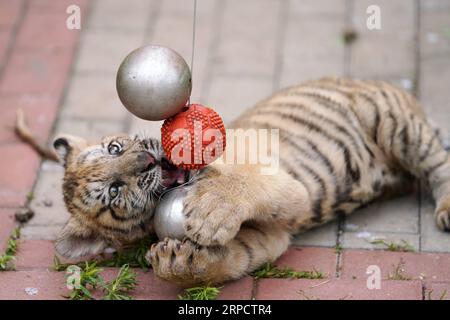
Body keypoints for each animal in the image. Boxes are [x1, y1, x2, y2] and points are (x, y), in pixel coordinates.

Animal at [53, 77, 450, 284]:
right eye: (114, 193)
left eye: (114, 148)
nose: (145, 161)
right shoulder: (271, 235)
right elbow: (236, 256)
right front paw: (179, 264)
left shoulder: (286, 183)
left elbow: (240, 185)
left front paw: (211, 210)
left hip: (395, 125)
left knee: (439, 164)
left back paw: (446, 211)